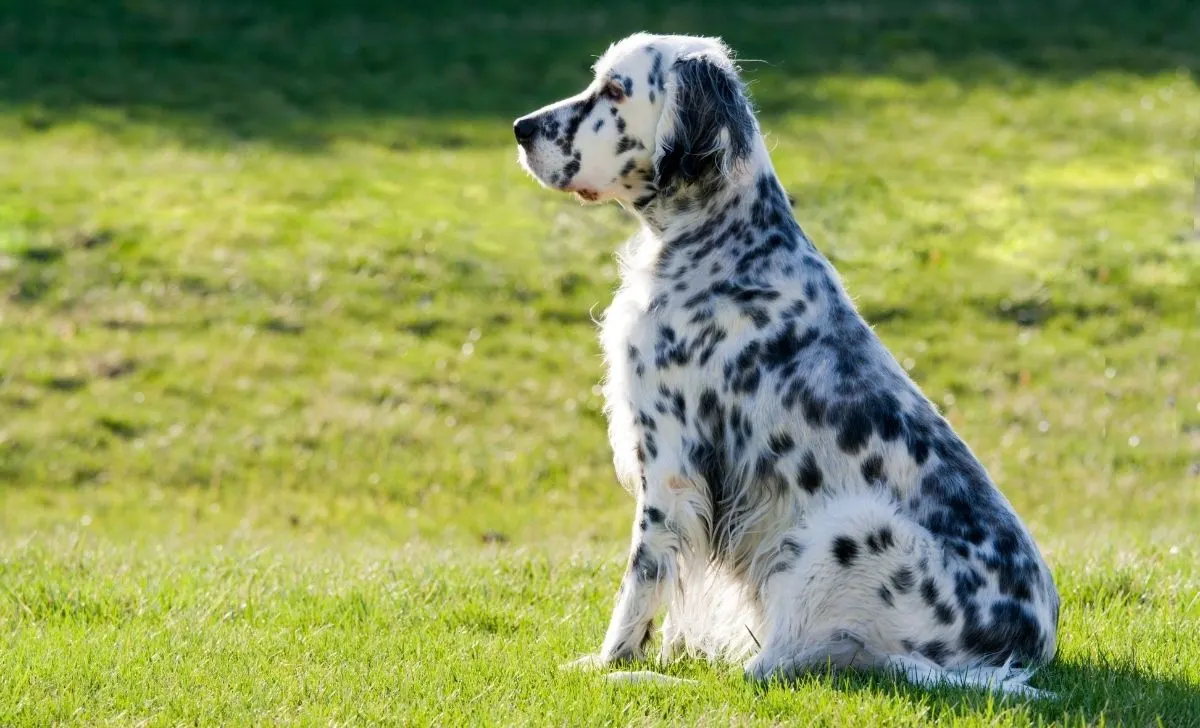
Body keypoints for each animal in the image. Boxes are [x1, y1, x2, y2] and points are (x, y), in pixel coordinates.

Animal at [516, 32, 1060, 695]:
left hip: (847, 530)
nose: (520, 128)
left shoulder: (670, 467)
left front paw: (609, 663)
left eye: (615, 90)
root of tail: (1027, 649)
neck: (724, 243)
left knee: (766, 669)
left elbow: (641, 583)